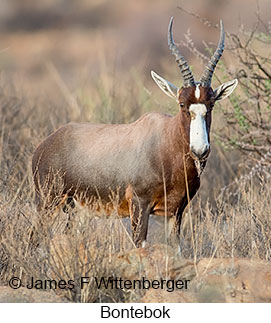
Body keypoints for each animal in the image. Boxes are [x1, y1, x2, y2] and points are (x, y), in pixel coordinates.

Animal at [33, 18, 238, 248]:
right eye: (182, 104)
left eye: (211, 104)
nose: (200, 150)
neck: (165, 140)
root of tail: (43, 146)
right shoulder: (139, 205)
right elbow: (141, 246)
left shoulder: (175, 212)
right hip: (48, 202)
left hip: (75, 209)